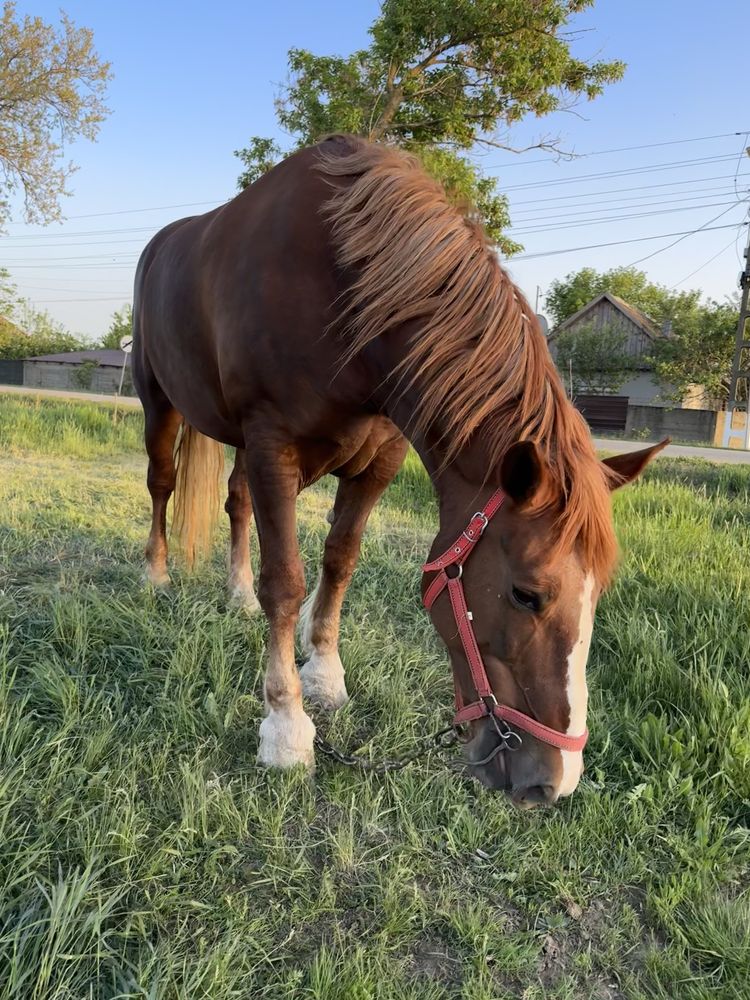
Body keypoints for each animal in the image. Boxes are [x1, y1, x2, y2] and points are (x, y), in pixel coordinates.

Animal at [132, 133, 668, 808]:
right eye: (527, 594)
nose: (553, 783)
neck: (340, 291)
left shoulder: (377, 461)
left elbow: (339, 560)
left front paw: (324, 673)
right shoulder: (272, 445)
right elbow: (286, 581)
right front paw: (286, 728)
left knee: (236, 504)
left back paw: (236, 593)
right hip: (160, 403)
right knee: (161, 485)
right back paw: (155, 574)